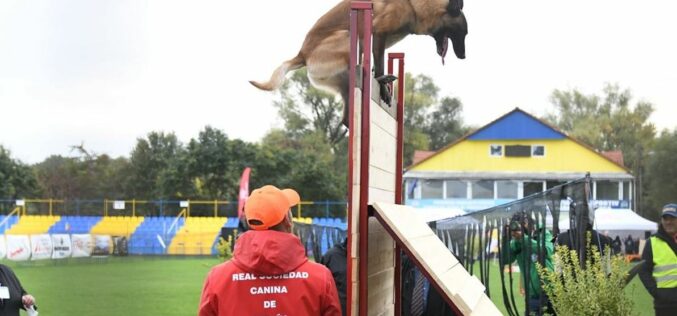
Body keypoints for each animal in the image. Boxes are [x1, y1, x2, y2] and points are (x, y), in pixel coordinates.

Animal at [251, 0, 468, 126]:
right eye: (463, 33)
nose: (463, 56)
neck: (414, 6)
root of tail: (302, 54)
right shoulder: (378, 34)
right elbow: (379, 62)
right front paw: (382, 85)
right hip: (348, 37)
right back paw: (380, 79)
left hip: (346, 82)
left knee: (347, 117)